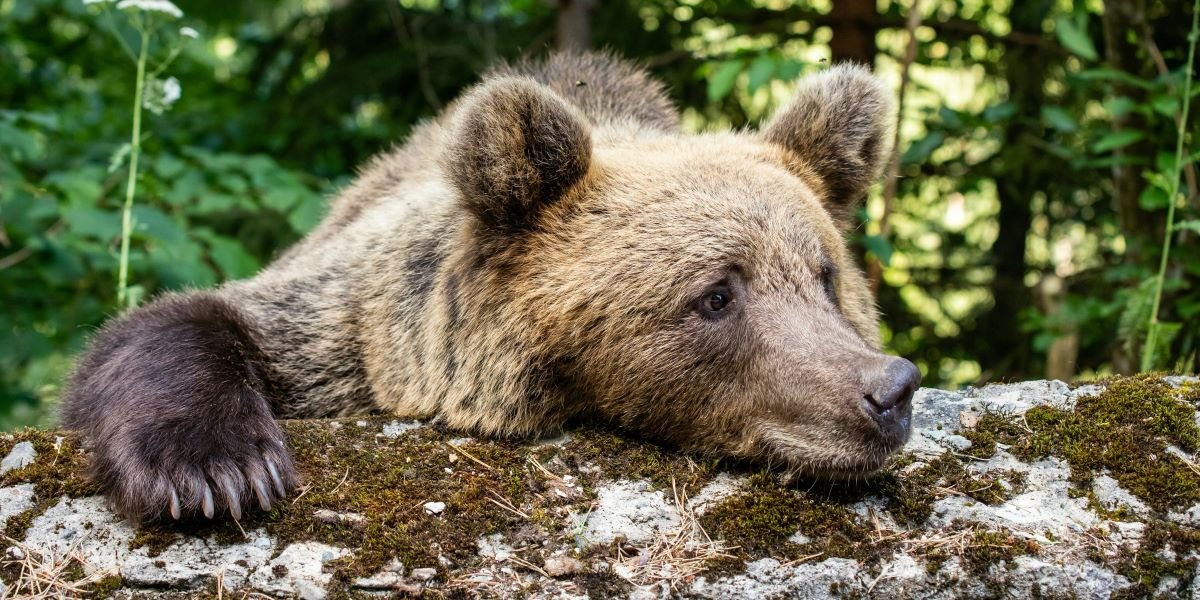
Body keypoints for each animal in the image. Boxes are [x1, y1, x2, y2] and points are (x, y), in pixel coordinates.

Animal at [61, 52, 921, 522]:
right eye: (717, 293)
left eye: (824, 278)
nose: (888, 390)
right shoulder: (358, 334)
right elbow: (183, 324)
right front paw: (217, 470)